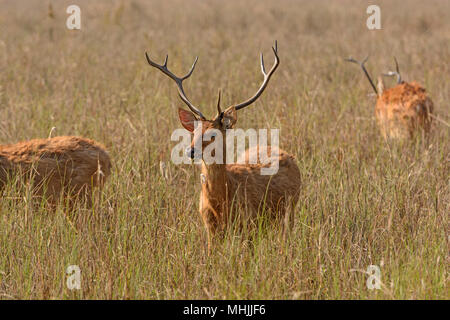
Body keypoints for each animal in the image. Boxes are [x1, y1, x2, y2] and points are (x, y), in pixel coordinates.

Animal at [146, 41, 300, 251]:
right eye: (193, 132)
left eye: (213, 134)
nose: (190, 151)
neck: (221, 203)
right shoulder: (209, 226)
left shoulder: (248, 223)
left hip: (289, 211)